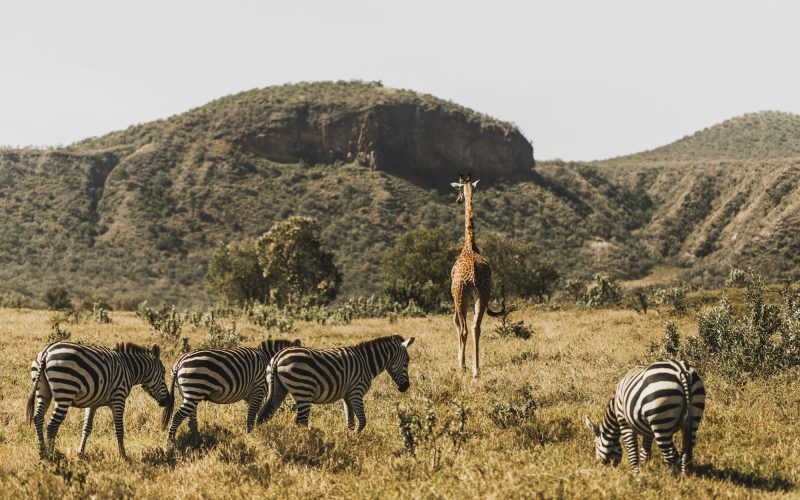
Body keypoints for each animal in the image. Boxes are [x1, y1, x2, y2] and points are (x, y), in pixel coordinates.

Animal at [26, 342, 169, 459]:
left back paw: (42, 452)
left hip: (43, 392)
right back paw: (52, 455)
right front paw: (123, 455)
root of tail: (46, 352)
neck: (129, 368)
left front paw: (80, 452)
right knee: (52, 424)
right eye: (164, 372)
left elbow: (87, 428)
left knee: (38, 418)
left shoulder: (92, 404)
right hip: (65, 391)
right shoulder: (119, 398)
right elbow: (119, 428)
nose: (166, 401)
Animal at [162, 339, 301, 441]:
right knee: (178, 416)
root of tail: (180, 361)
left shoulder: (251, 394)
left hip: (188, 394)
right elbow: (251, 415)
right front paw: (250, 435)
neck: (267, 359)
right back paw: (170, 441)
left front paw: (254, 430)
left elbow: (255, 412)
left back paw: (198, 441)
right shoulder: (258, 389)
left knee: (190, 419)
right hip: (195, 389)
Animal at [256, 335, 415, 432]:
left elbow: (350, 422)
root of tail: (277, 357)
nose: (406, 387)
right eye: (407, 361)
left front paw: (349, 439)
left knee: (264, 414)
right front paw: (356, 439)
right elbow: (362, 421)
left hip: (278, 389)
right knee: (300, 421)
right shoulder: (356, 392)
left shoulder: (347, 396)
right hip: (303, 390)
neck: (367, 363)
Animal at [450, 173, 504, 378]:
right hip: (483, 294)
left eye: (457, 189)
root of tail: (472, 276)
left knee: (464, 328)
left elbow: (456, 323)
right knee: (476, 327)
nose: (458, 200)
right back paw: (476, 370)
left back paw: (464, 367)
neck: (470, 245)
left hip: (461, 296)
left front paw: (460, 362)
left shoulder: (454, 297)